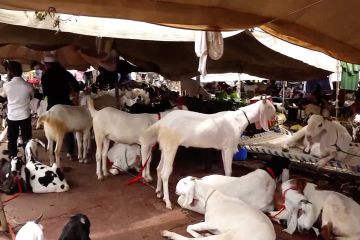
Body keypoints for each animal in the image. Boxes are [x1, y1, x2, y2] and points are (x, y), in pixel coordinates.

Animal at [141, 98, 276, 209]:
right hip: (171, 146)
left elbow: (226, 170)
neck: (238, 119)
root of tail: (162, 122)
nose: (276, 118)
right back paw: (167, 202)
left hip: (165, 147)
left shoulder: (223, 149)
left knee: (159, 169)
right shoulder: (228, 148)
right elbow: (229, 171)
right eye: (270, 108)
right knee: (165, 172)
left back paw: (159, 192)